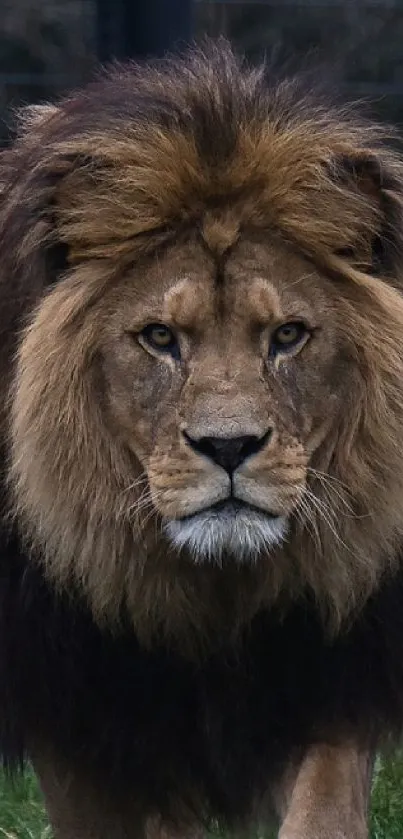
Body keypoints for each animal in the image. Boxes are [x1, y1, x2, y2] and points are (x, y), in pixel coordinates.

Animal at [2, 37, 403, 839]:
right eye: (160, 337)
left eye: (288, 335)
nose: (228, 448)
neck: (210, 594)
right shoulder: (82, 724)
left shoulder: (332, 674)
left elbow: (322, 806)